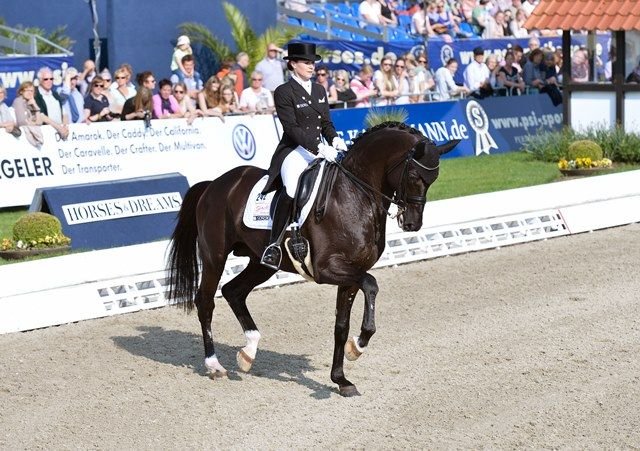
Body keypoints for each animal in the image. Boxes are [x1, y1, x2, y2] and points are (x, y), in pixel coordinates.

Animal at [168, 122, 458, 398]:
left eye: (434, 178)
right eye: (413, 175)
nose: (412, 223)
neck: (354, 195)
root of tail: (214, 184)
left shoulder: (351, 274)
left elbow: (341, 326)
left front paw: (341, 379)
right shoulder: (327, 269)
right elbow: (372, 285)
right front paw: (358, 346)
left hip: (261, 262)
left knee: (233, 291)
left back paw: (249, 351)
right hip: (215, 256)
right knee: (206, 301)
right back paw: (214, 365)